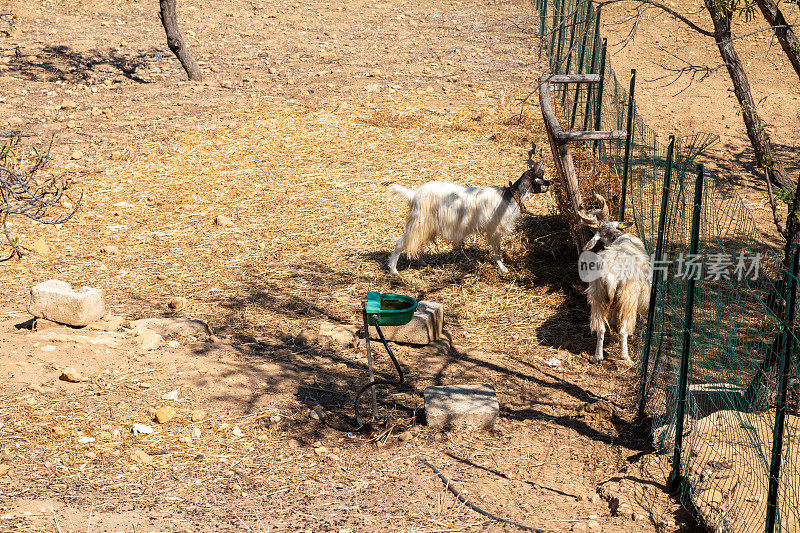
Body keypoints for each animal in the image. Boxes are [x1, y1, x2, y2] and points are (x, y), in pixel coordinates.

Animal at [382, 164, 548, 274]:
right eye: (540, 177)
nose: (550, 183)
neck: (509, 197)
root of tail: (413, 195)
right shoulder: (494, 229)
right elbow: (496, 250)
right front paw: (502, 268)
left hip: (426, 225)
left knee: (417, 242)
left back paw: (422, 261)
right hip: (419, 222)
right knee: (401, 242)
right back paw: (393, 269)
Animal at [580, 193, 652, 364]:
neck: (619, 237)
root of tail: (611, 277)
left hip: (598, 296)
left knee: (600, 328)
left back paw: (597, 357)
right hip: (628, 297)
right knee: (623, 330)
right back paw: (625, 357)